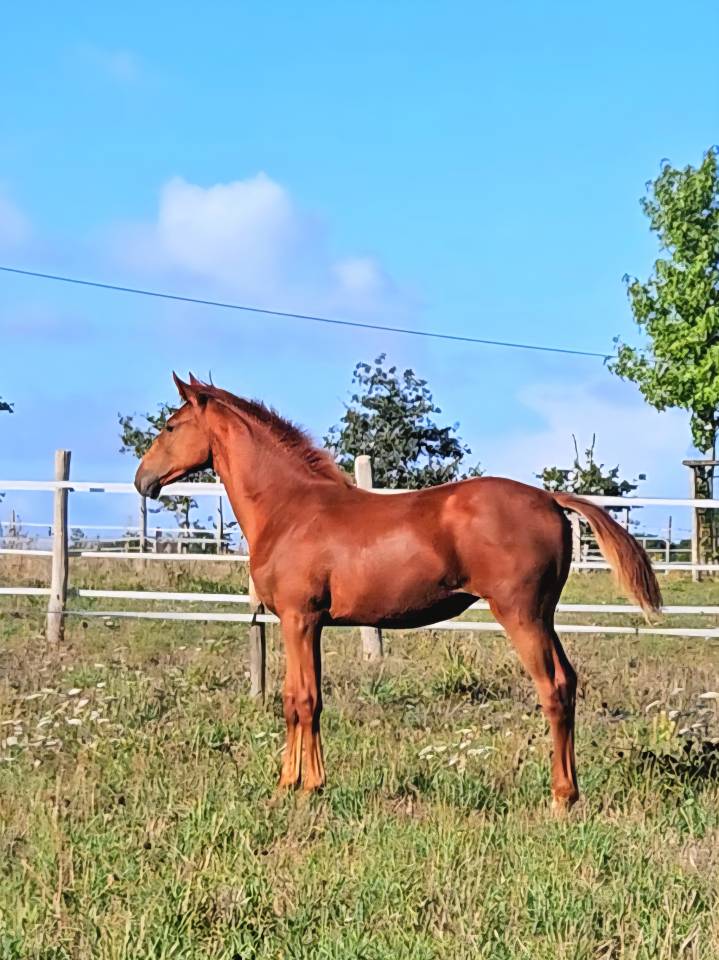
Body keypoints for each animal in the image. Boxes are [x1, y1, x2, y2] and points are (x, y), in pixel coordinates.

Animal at [134, 373, 662, 811]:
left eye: (170, 425)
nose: (143, 481)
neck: (289, 509)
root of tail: (551, 498)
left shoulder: (298, 618)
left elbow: (301, 699)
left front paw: (300, 788)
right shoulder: (312, 624)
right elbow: (304, 699)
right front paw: (298, 783)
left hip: (521, 614)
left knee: (552, 687)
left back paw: (559, 797)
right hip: (544, 616)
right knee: (569, 682)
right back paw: (571, 792)